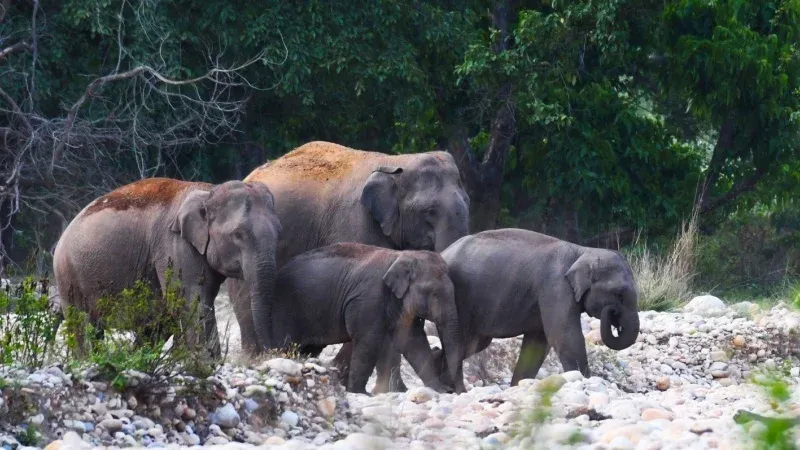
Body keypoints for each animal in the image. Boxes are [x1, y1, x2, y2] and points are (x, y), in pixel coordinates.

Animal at [54, 179, 282, 356]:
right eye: (238, 234)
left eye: (279, 231)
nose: (270, 352)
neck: (208, 192)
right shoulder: (174, 245)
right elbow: (192, 301)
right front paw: (207, 361)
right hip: (68, 275)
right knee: (82, 323)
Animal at [270, 243, 462, 394]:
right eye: (434, 294)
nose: (454, 390)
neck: (400, 255)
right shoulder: (369, 298)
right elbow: (369, 341)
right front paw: (359, 393)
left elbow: (413, 342)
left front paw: (438, 390)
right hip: (284, 309)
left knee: (309, 348)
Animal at [428, 229, 640, 390]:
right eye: (619, 294)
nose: (612, 313)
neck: (582, 251)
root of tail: (444, 252)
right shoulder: (556, 287)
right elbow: (565, 336)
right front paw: (585, 381)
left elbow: (538, 344)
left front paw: (518, 387)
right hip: (456, 300)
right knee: (460, 342)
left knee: (472, 344)